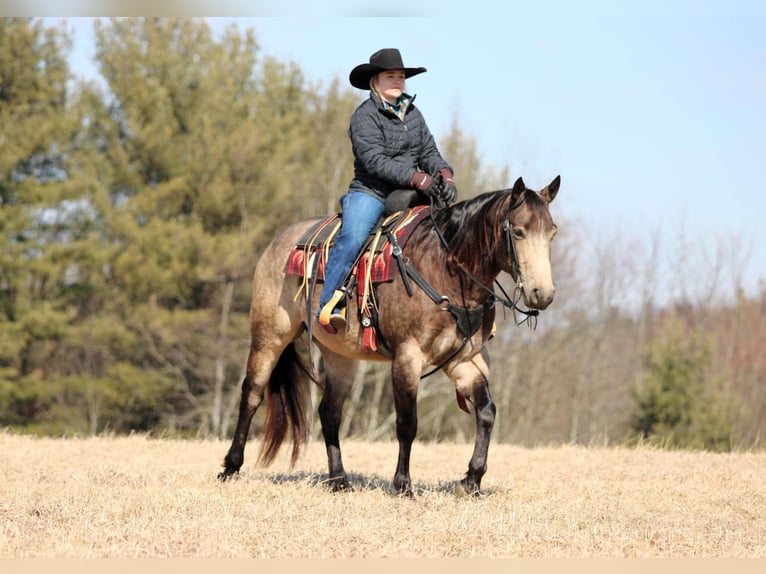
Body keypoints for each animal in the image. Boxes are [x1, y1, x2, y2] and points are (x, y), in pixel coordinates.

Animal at [219, 176, 560, 500]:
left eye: (552, 233)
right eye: (518, 232)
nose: (542, 294)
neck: (443, 268)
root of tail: (279, 242)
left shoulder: (464, 361)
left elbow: (487, 413)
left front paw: (471, 480)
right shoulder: (408, 357)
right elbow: (408, 423)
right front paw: (403, 484)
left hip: (340, 356)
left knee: (329, 412)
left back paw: (339, 479)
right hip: (269, 337)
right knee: (252, 394)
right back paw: (230, 467)